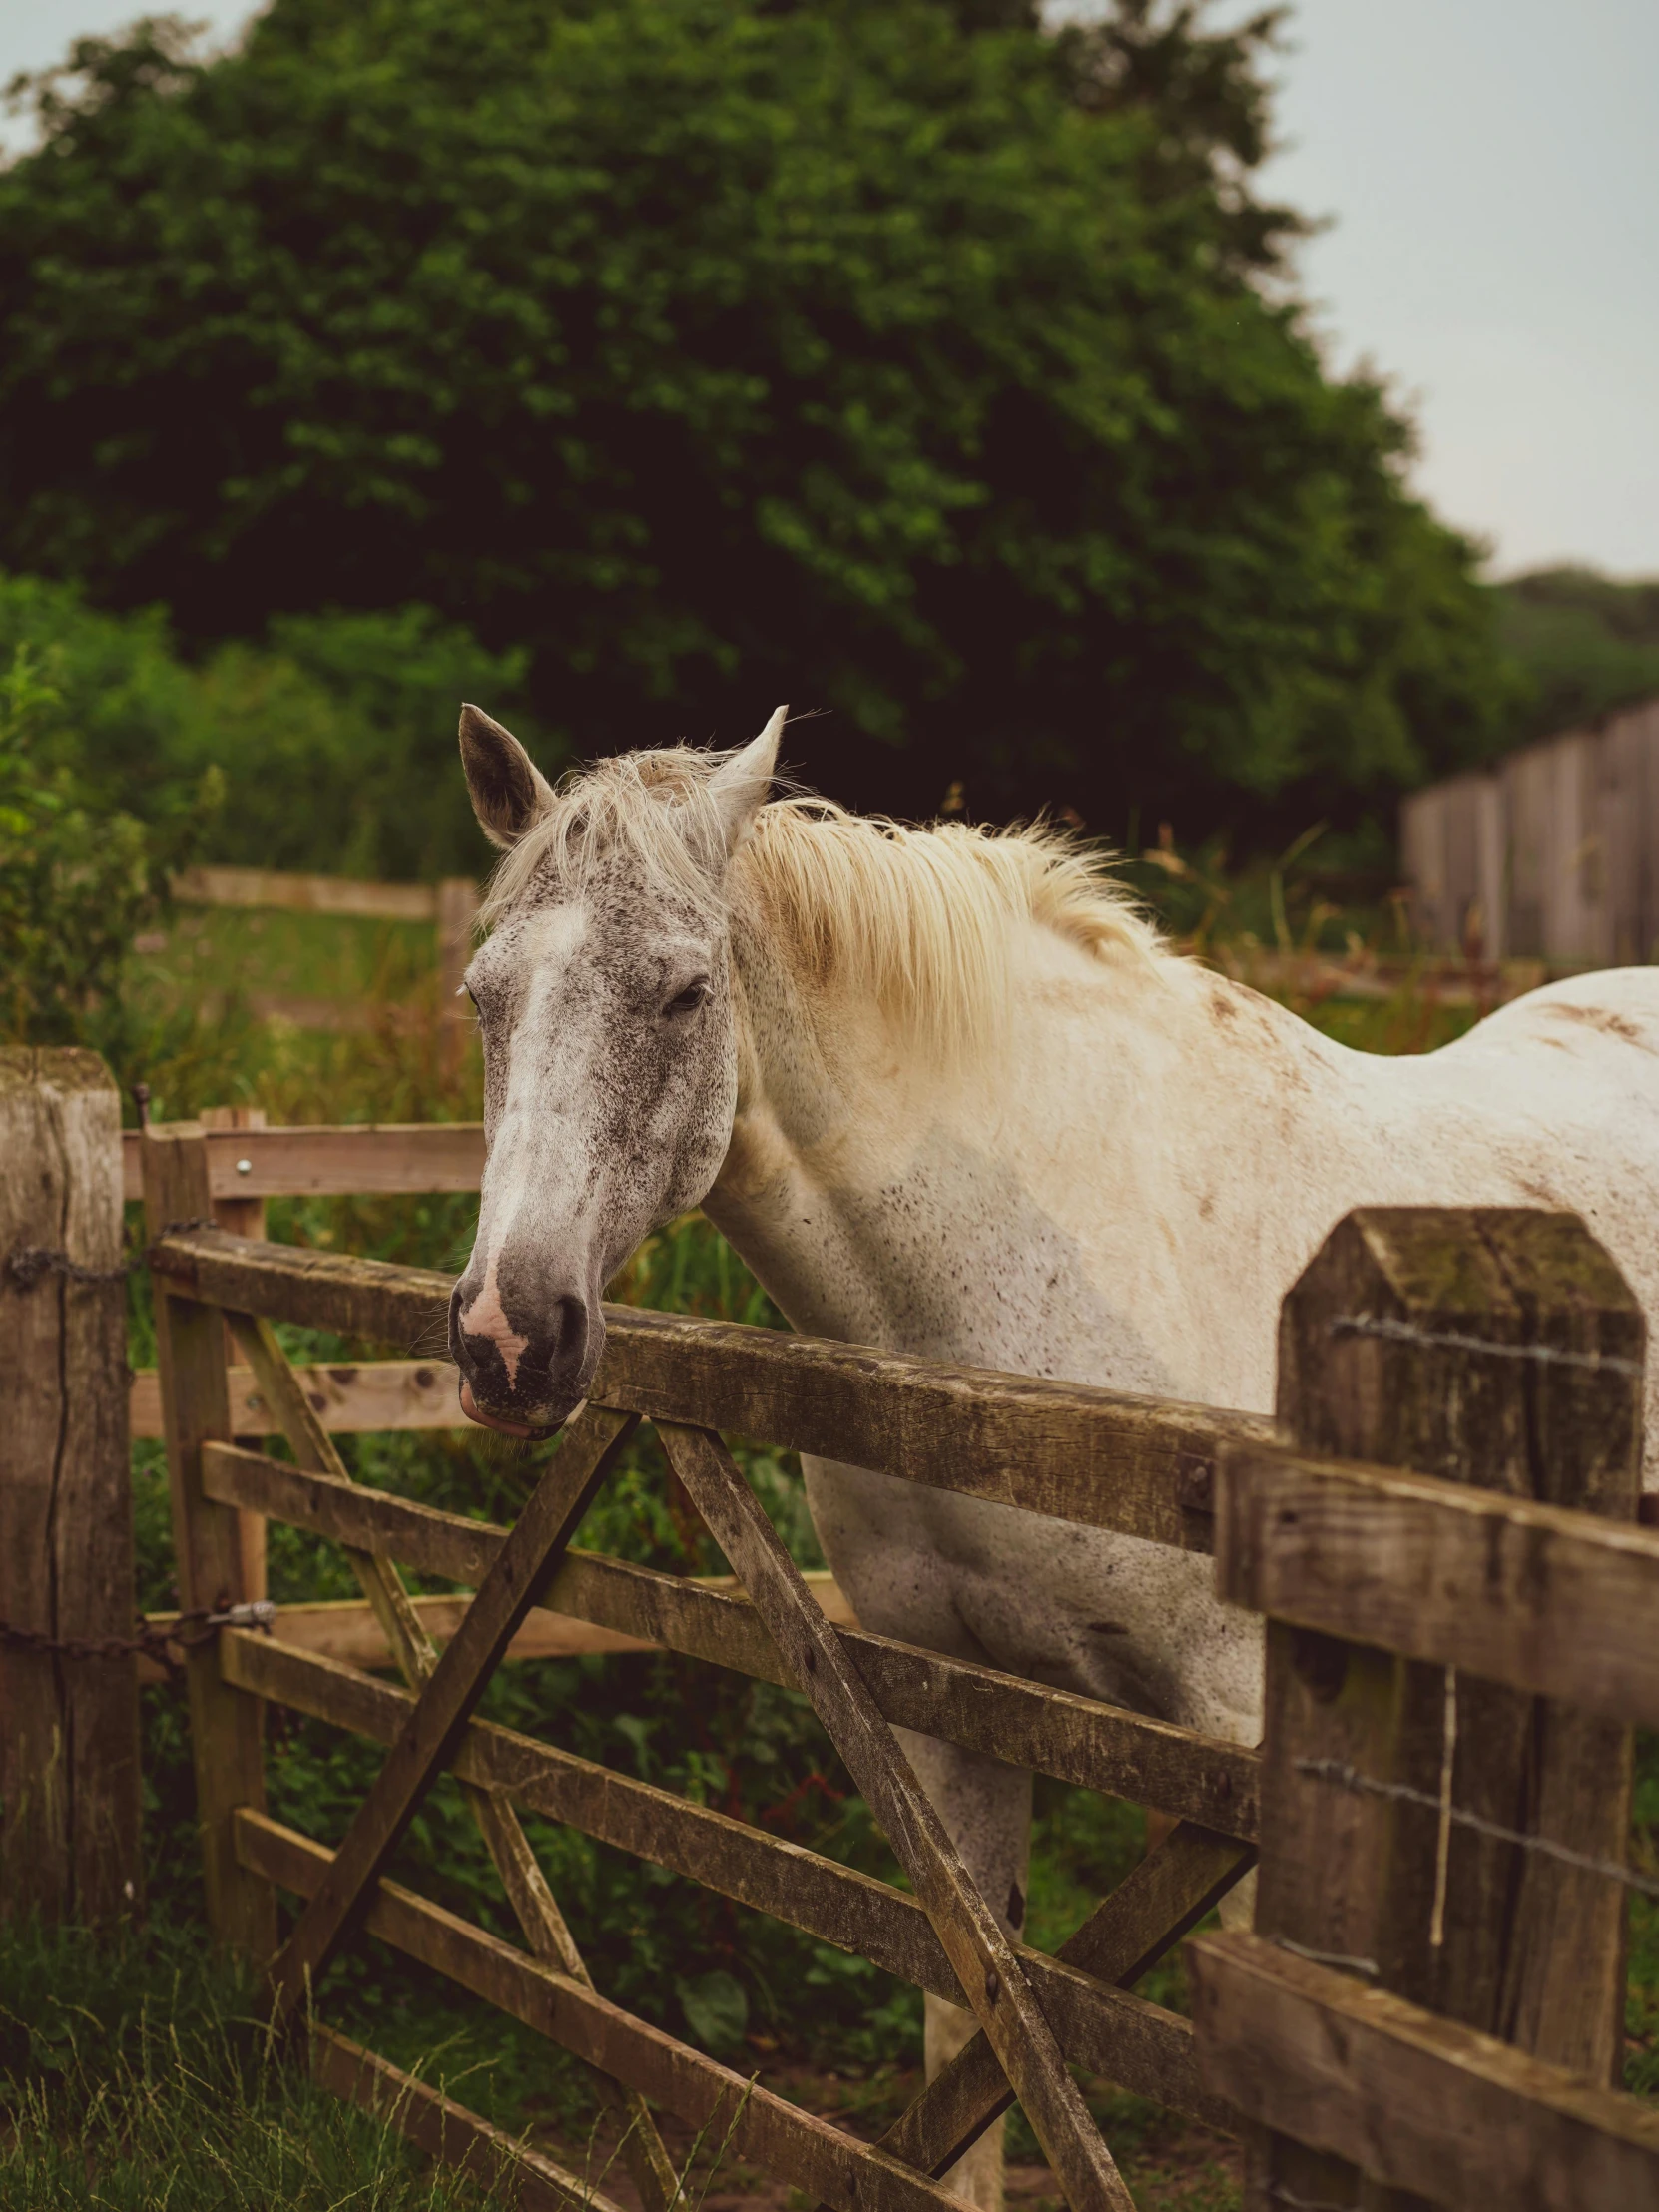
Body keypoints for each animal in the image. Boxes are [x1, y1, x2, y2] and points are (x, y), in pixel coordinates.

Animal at [448, 703, 1659, 2194]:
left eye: (680, 995)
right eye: (483, 995)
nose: (507, 1336)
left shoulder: (1250, 1761)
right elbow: (976, 2037)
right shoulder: (942, 1707)